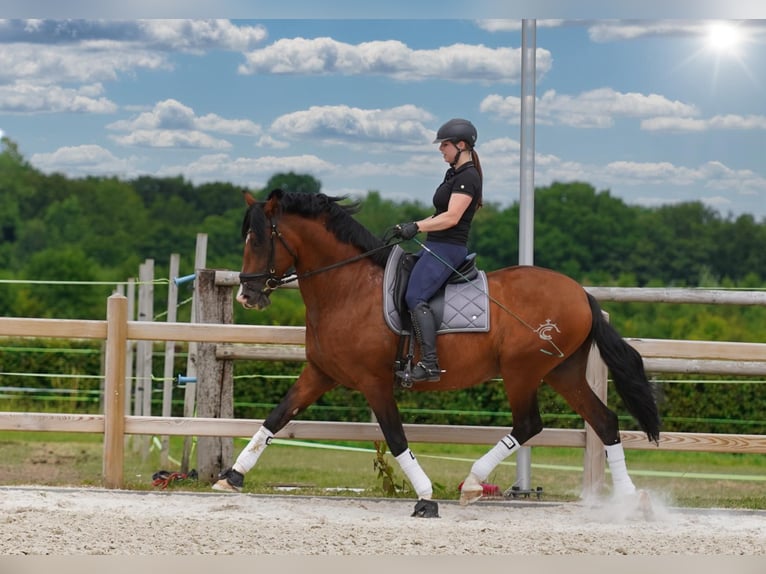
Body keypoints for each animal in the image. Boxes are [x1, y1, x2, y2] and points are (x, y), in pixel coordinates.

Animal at [213, 191, 664, 520]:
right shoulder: (320, 373)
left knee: (529, 424)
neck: (347, 287)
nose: (247, 296)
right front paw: (231, 477)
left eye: (259, 239)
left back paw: (473, 483)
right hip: (562, 371)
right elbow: (276, 417)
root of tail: (582, 295)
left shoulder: (375, 382)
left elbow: (396, 438)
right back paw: (631, 501)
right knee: (604, 421)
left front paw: (426, 497)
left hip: (522, 371)